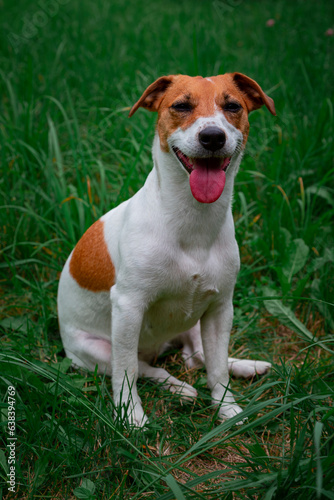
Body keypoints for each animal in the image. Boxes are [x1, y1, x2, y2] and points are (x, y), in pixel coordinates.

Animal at [57, 72, 276, 428]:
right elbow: (127, 371)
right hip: (95, 351)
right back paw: (177, 387)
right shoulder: (128, 307)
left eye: (233, 106)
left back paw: (244, 366)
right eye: (181, 106)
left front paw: (227, 409)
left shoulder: (220, 308)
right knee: (143, 366)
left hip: (195, 323)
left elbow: (216, 368)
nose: (212, 137)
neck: (193, 221)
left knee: (198, 356)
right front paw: (130, 414)